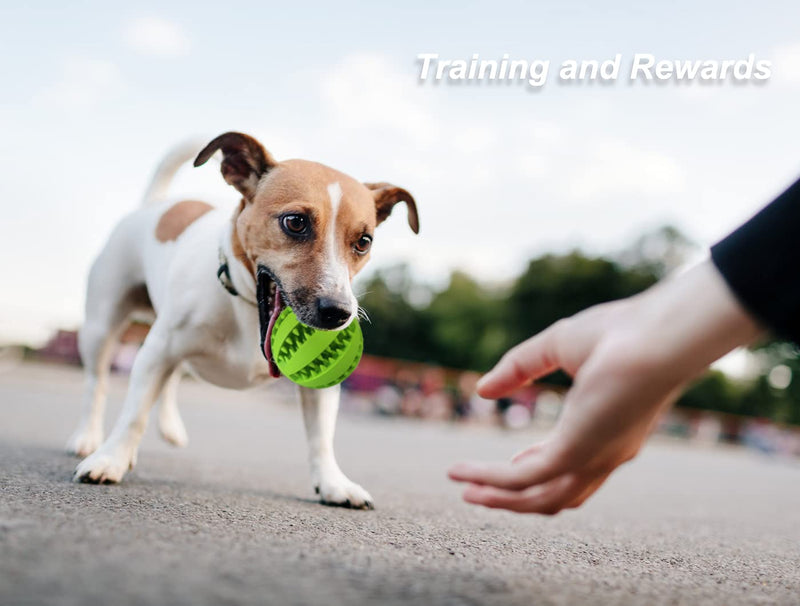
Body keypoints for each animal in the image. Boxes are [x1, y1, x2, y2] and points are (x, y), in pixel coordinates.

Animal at [64, 131, 418, 510]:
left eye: (364, 242)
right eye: (295, 222)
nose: (338, 313)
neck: (247, 308)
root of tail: (154, 205)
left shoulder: (320, 385)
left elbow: (321, 437)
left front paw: (333, 483)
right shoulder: (157, 351)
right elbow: (133, 414)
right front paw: (110, 459)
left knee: (171, 378)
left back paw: (170, 428)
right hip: (101, 327)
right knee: (97, 383)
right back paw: (88, 438)